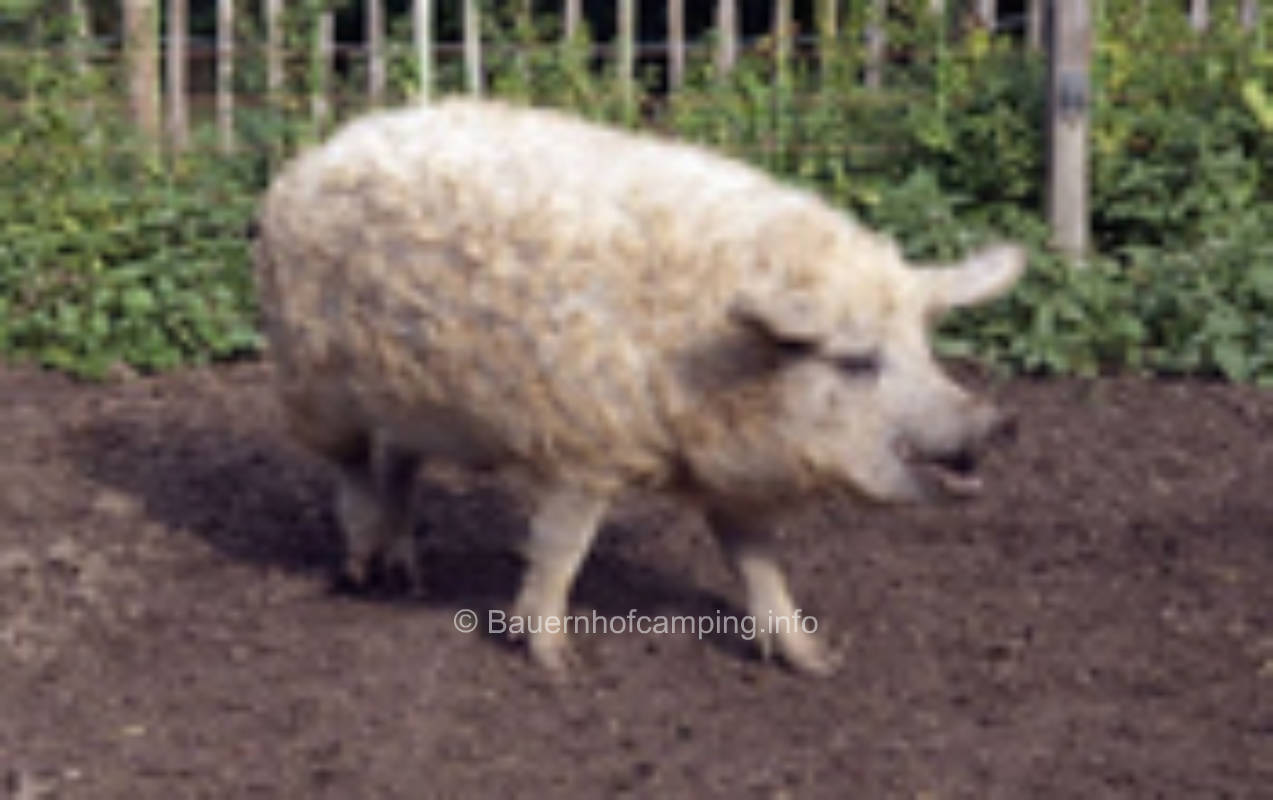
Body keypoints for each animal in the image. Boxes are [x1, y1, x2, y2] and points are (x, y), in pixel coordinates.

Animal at [252, 97, 1024, 676]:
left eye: (924, 349)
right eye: (858, 361)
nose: (996, 422)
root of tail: (325, 147)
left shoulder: (733, 475)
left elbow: (756, 560)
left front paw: (816, 660)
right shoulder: (581, 447)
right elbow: (562, 548)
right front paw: (560, 665)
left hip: (415, 396)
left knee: (401, 466)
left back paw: (408, 576)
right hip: (311, 376)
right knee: (353, 468)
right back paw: (361, 572)